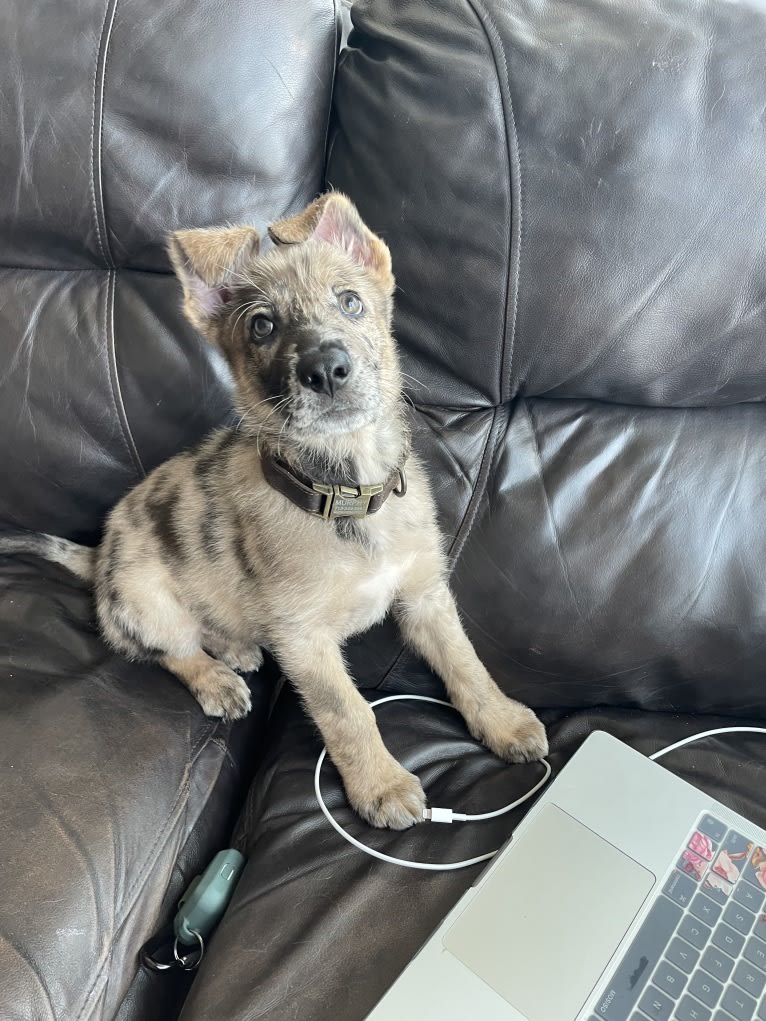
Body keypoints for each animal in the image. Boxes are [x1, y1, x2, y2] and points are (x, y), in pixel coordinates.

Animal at [1, 192, 551, 829]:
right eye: (262, 325)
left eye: (350, 301)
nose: (326, 370)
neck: (348, 494)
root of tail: (99, 558)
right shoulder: (303, 638)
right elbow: (348, 712)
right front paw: (382, 784)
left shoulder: (424, 596)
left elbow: (467, 665)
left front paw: (503, 721)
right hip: (145, 600)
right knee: (169, 649)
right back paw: (216, 677)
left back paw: (235, 647)